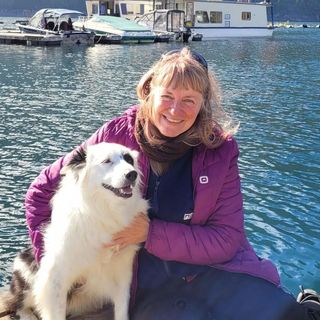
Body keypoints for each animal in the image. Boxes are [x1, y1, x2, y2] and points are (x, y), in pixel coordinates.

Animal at [0, 142, 149, 320]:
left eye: (129, 160)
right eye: (107, 161)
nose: (132, 174)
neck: (104, 210)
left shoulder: (122, 272)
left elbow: (122, 309)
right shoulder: (55, 277)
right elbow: (55, 312)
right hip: (27, 268)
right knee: (17, 303)